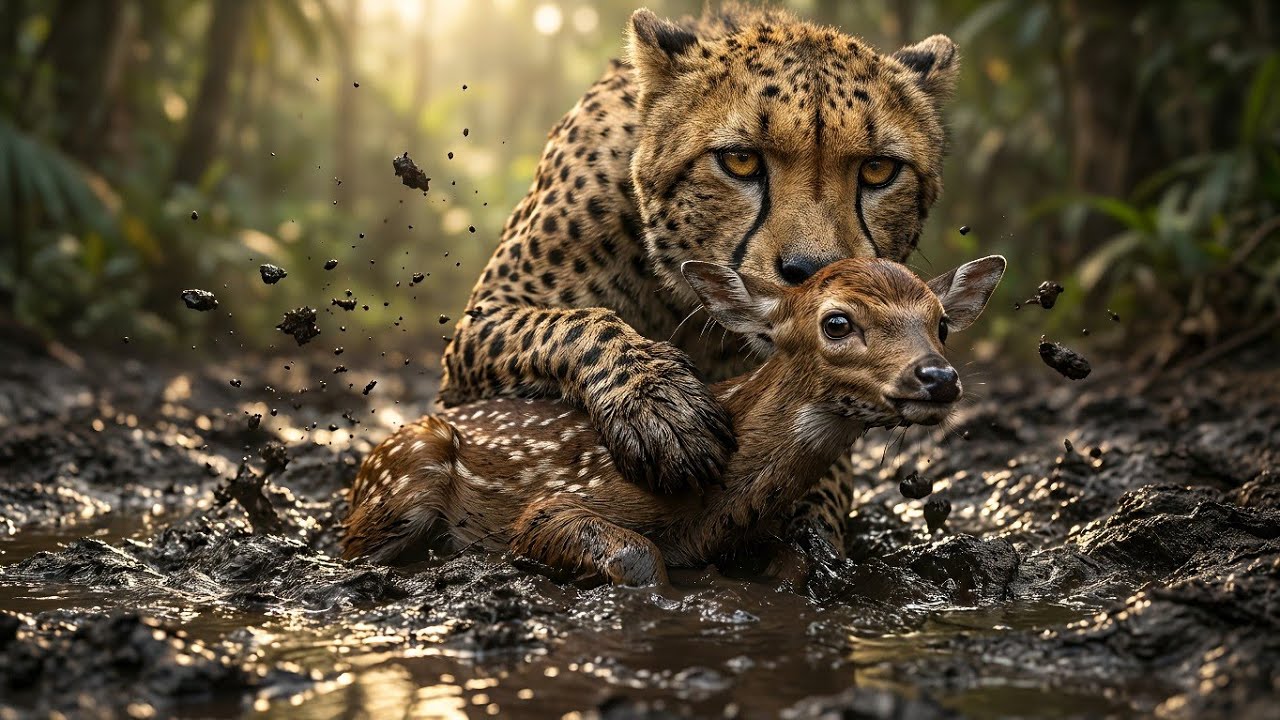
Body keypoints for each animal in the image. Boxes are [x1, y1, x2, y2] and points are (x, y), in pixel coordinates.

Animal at [342, 255, 1006, 586]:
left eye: (942, 323)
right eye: (837, 322)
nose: (938, 377)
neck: (712, 508)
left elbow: (795, 566)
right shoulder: (555, 502)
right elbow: (638, 560)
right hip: (404, 478)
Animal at [437, 3, 960, 559]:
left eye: (879, 169)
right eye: (740, 160)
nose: (812, 272)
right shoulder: (477, 334)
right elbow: (578, 324)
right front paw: (660, 403)